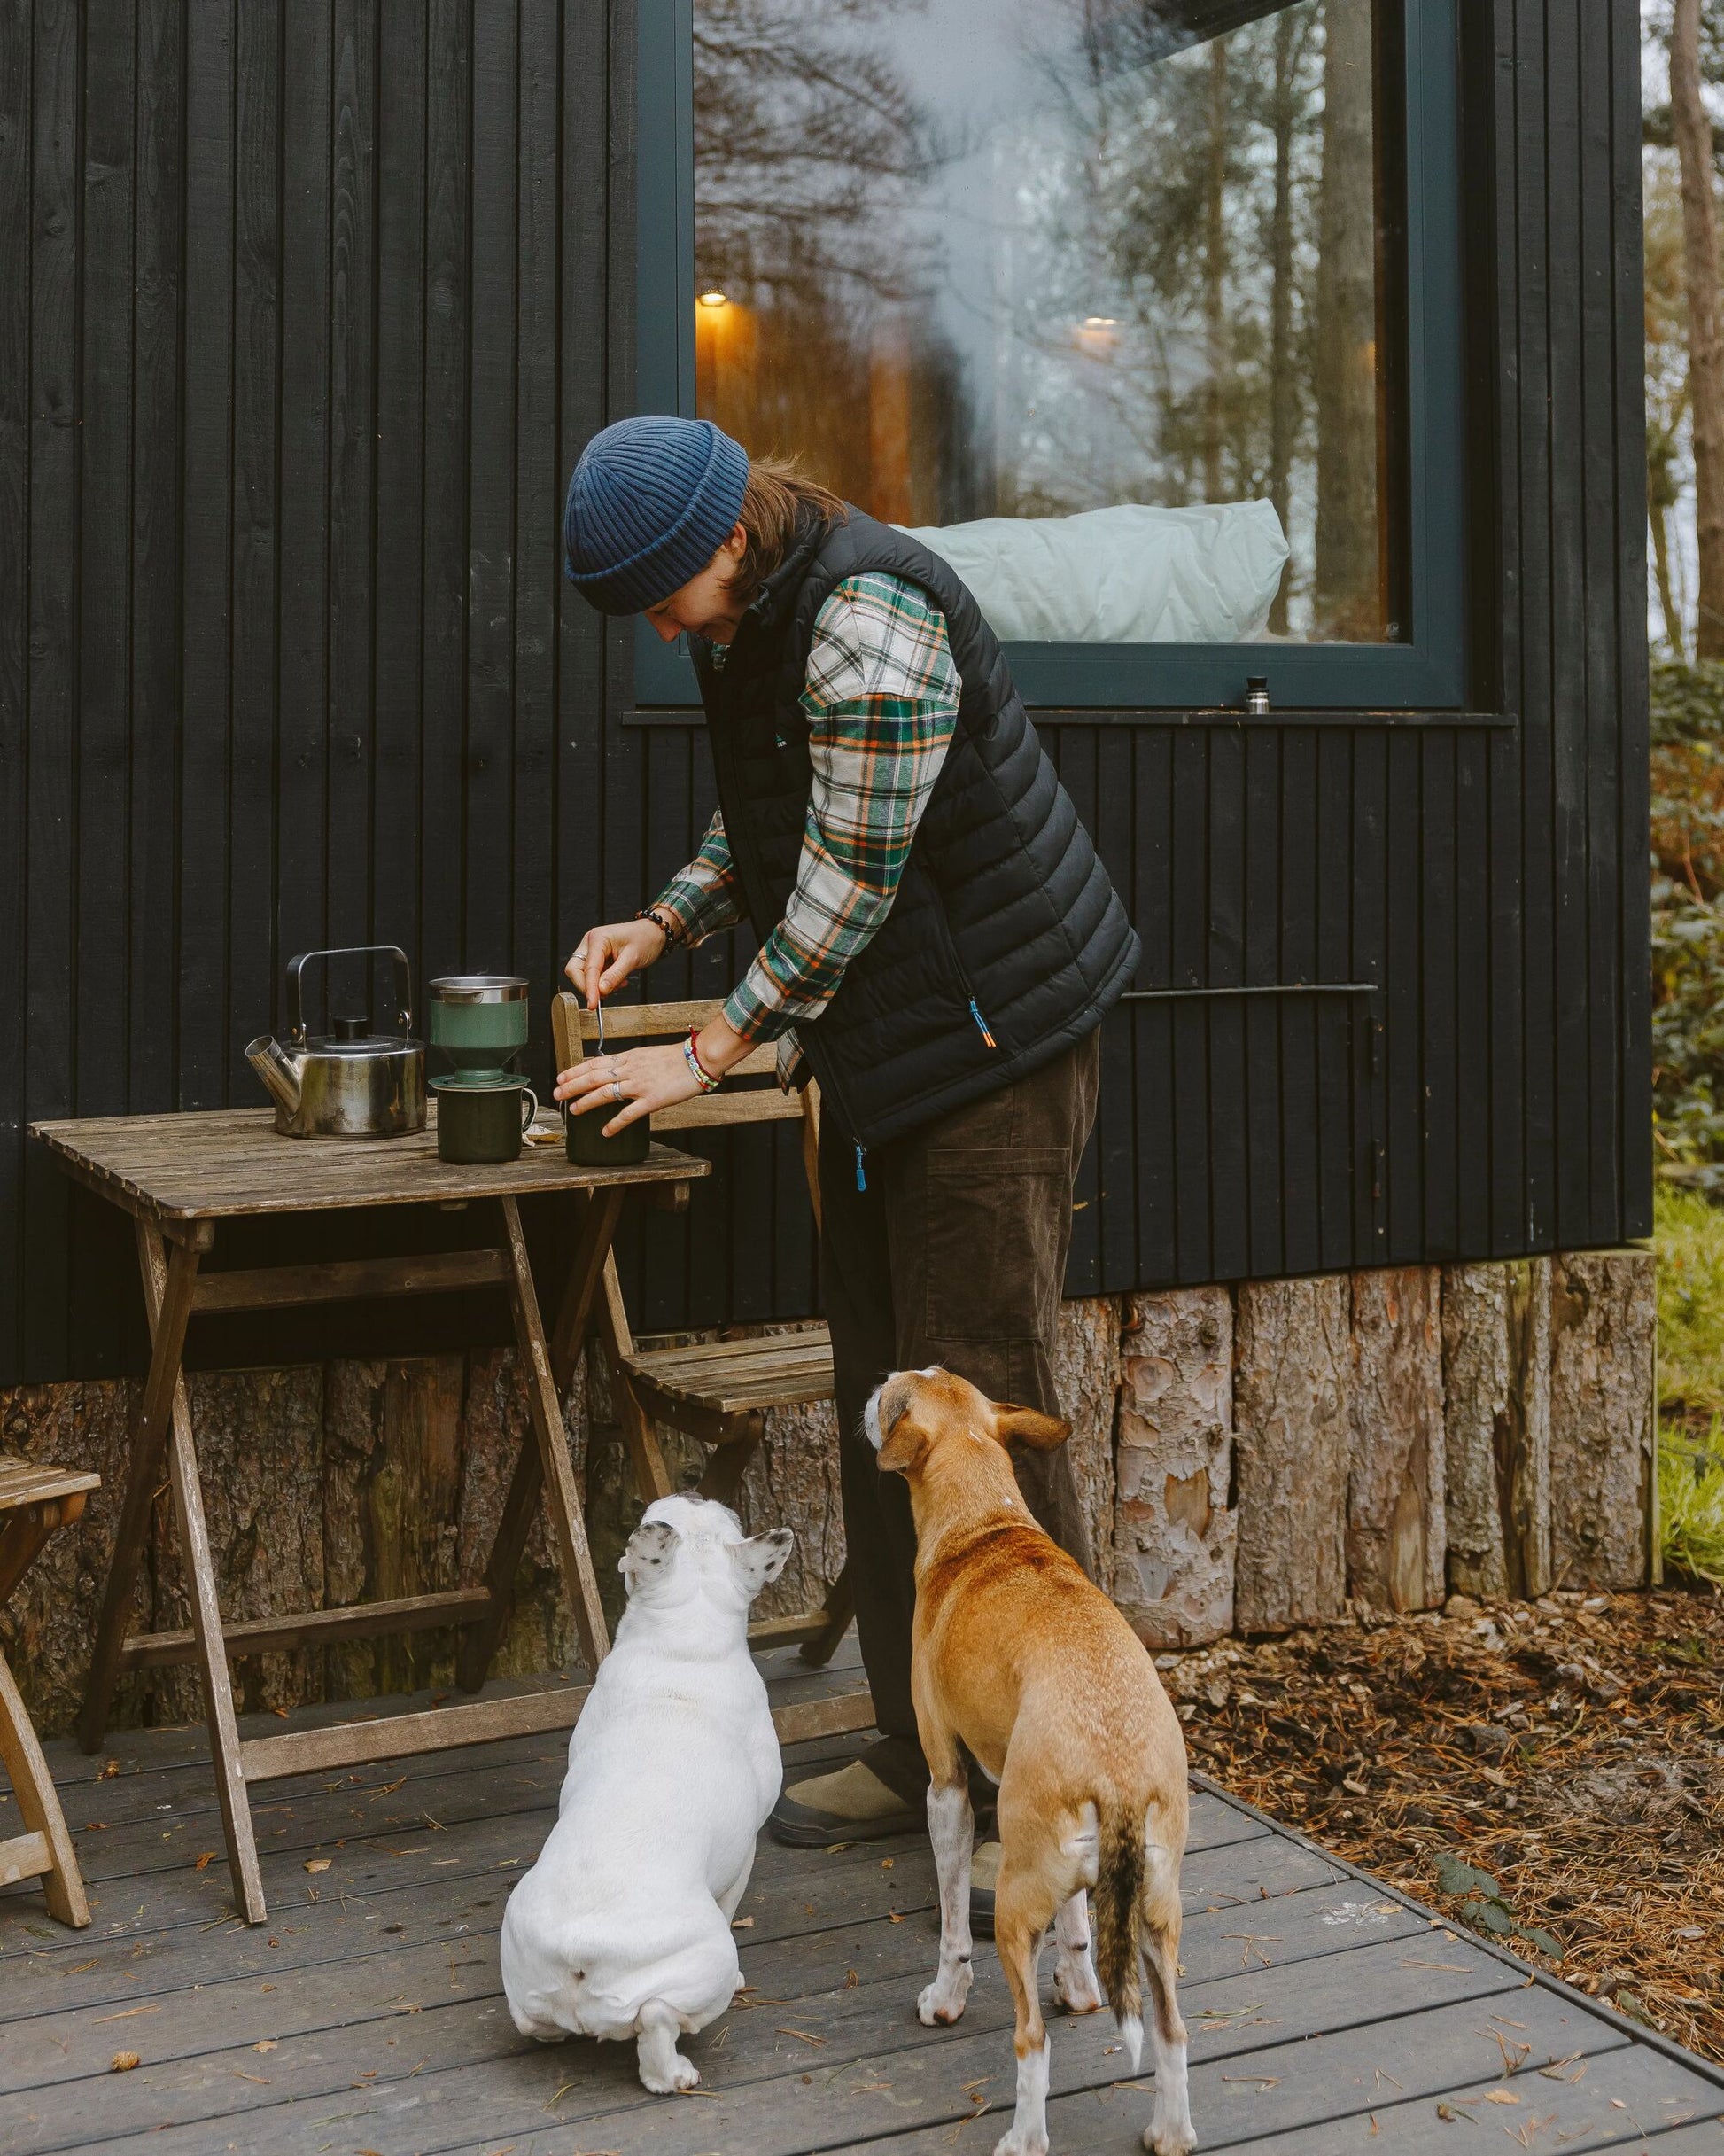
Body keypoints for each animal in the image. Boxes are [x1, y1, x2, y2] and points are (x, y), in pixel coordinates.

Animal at [870, 1371, 1189, 2147]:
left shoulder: (946, 1785)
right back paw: (1169, 2132)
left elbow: (953, 1925)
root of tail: (1119, 1773)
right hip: (1155, 1916)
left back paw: (1023, 2137)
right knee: (1172, 2031)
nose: (873, 1385)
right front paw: (1080, 1987)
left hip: (1014, 1910)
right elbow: (1077, 1931)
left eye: (893, 1396)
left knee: (1031, 2039)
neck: (985, 1522)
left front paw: (945, 1996)